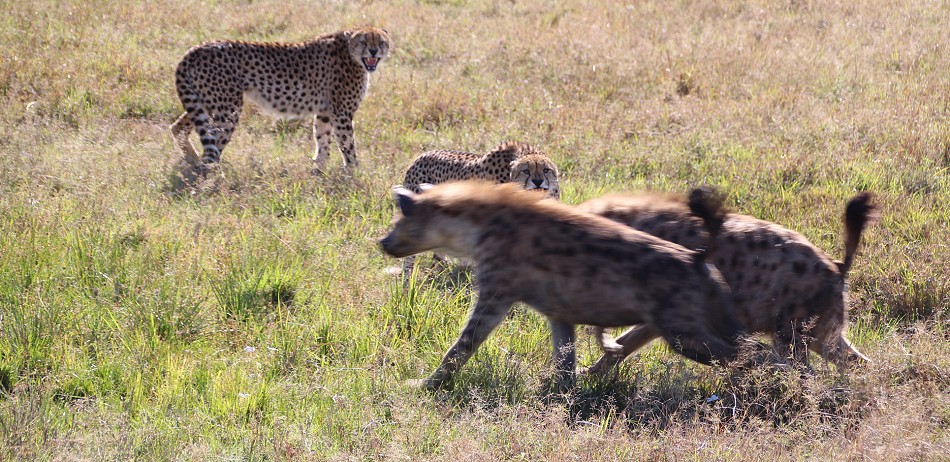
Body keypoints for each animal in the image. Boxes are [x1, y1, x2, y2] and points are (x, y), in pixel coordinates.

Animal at [170, 25, 390, 170]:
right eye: (363, 41)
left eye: (381, 42)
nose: (373, 51)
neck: (350, 53)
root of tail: (198, 47)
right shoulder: (341, 112)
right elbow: (347, 144)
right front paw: (353, 173)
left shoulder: (325, 111)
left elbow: (322, 140)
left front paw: (319, 170)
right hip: (227, 110)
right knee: (212, 148)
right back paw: (213, 177)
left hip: (205, 102)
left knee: (178, 127)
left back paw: (192, 160)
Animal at [380, 180, 768, 390]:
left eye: (397, 222)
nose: (382, 242)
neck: (476, 225)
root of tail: (698, 256)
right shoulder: (558, 311)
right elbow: (564, 356)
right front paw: (563, 391)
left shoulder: (496, 290)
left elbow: (462, 345)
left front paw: (425, 384)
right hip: (717, 314)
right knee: (757, 348)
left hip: (682, 332)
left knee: (752, 354)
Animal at [580, 189, 876, 374]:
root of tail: (837, 266)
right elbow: (626, 341)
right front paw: (590, 374)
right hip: (820, 330)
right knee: (855, 361)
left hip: (791, 331)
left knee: (801, 369)